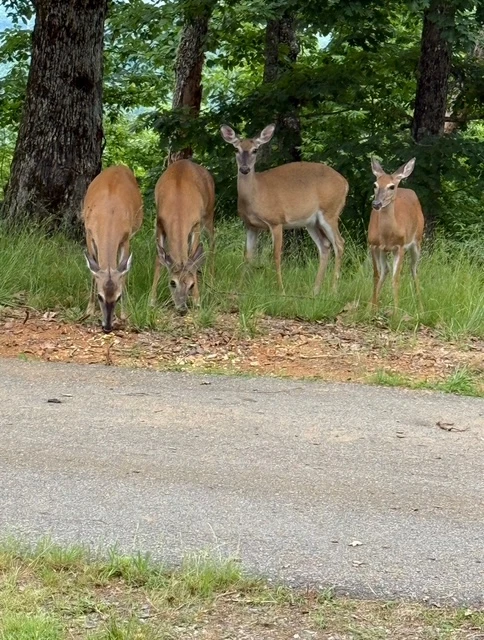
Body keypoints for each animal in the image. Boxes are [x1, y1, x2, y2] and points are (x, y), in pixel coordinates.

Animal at [82, 165, 143, 333]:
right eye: (100, 296)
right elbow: (93, 272)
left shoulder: (126, 237)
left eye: (118, 296)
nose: (107, 327)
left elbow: (124, 274)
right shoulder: (89, 234)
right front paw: (89, 310)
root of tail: (119, 166)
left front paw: (124, 314)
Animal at [150, 159, 215, 314]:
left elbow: (192, 257)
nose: (182, 308)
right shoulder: (159, 222)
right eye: (172, 283)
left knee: (212, 241)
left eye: (191, 284)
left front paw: (197, 300)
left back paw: (212, 283)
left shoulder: (196, 224)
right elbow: (159, 260)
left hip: (209, 214)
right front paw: (152, 300)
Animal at [220, 123, 348, 294]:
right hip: (311, 222)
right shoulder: (251, 225)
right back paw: (315, 290)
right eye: (236, 149)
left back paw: (333, 290)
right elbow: (247, 256)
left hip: (330, 212)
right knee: (325, 246)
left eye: (255, 150)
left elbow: (276, 256)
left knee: (339, 243)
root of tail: (345, 183)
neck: (256, 194)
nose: (245, 169)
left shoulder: (276, 221)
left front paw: (281, 290)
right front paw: (238, 289)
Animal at [369, 157, 425, 311]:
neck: (387, 235)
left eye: (391, 187)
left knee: (414, 269)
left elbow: (396, 279)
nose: (376, 204)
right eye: (375, 184)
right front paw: (371, 310)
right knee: (385, 270)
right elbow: (376, 275)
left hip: (417, 241)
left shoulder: (400, 247)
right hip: (383, 251)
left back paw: (421, 308)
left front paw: (396, 312)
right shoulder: (373, 245)